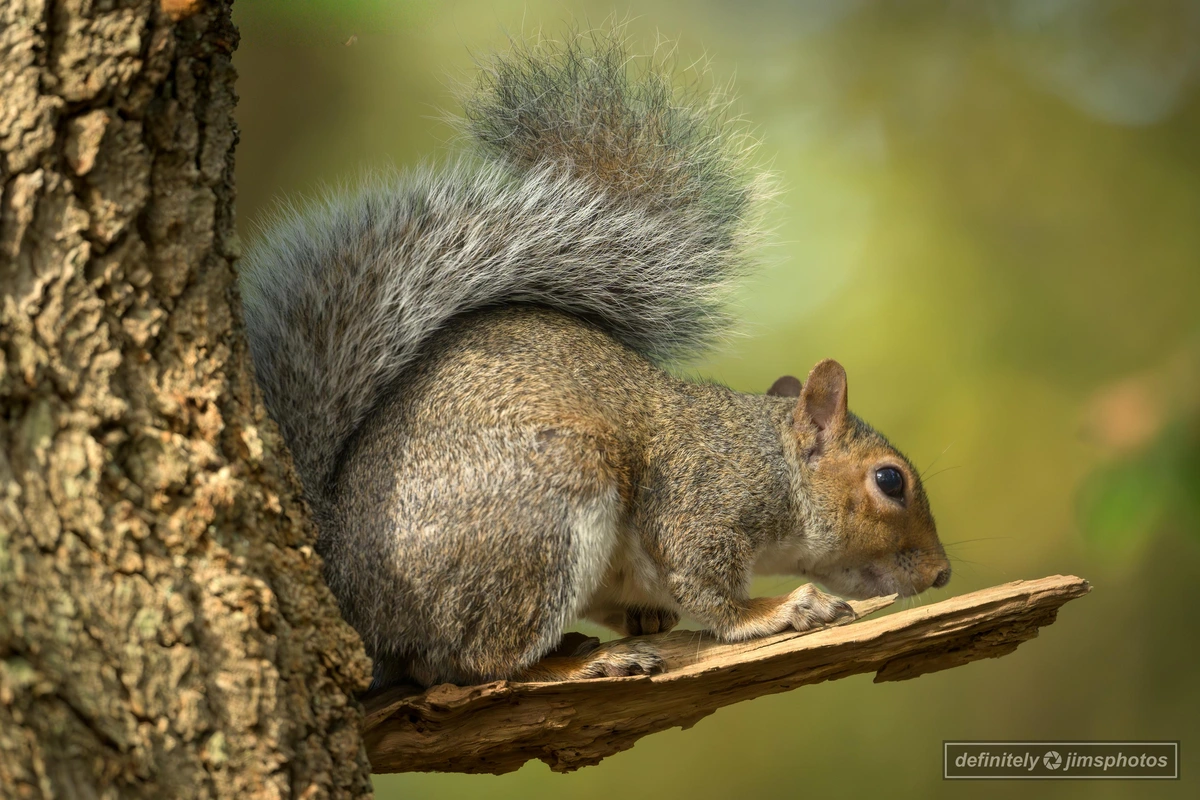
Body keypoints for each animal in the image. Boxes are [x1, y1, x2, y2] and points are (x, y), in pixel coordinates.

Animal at [239, 31, 951, 689]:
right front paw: (778, 610)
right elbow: (708, 588)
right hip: (546, 505)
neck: (768, 461)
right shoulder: (699, 502)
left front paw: (649, 616)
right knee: (480, 660)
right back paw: (589, 661)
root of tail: (349, 583)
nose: (943, 571)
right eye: (890, 481)